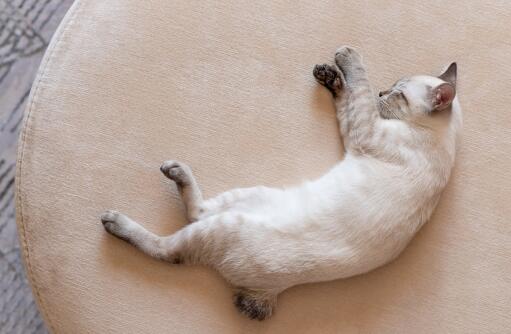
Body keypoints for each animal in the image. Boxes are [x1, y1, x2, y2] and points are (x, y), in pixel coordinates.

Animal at [102, 47, 462, 320]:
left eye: (398, 94)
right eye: (392, 87)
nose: (381, 93)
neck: (438, 137)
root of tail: (269, 294)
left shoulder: (364, 130)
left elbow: (357, 85)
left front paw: (348, 57)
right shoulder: (357, 127)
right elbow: (347, 97)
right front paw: (330, 76)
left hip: (221, 227)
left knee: (168, 247)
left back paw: (119, 217)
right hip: (247, 196)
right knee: (198, 210)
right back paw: (177, 171)